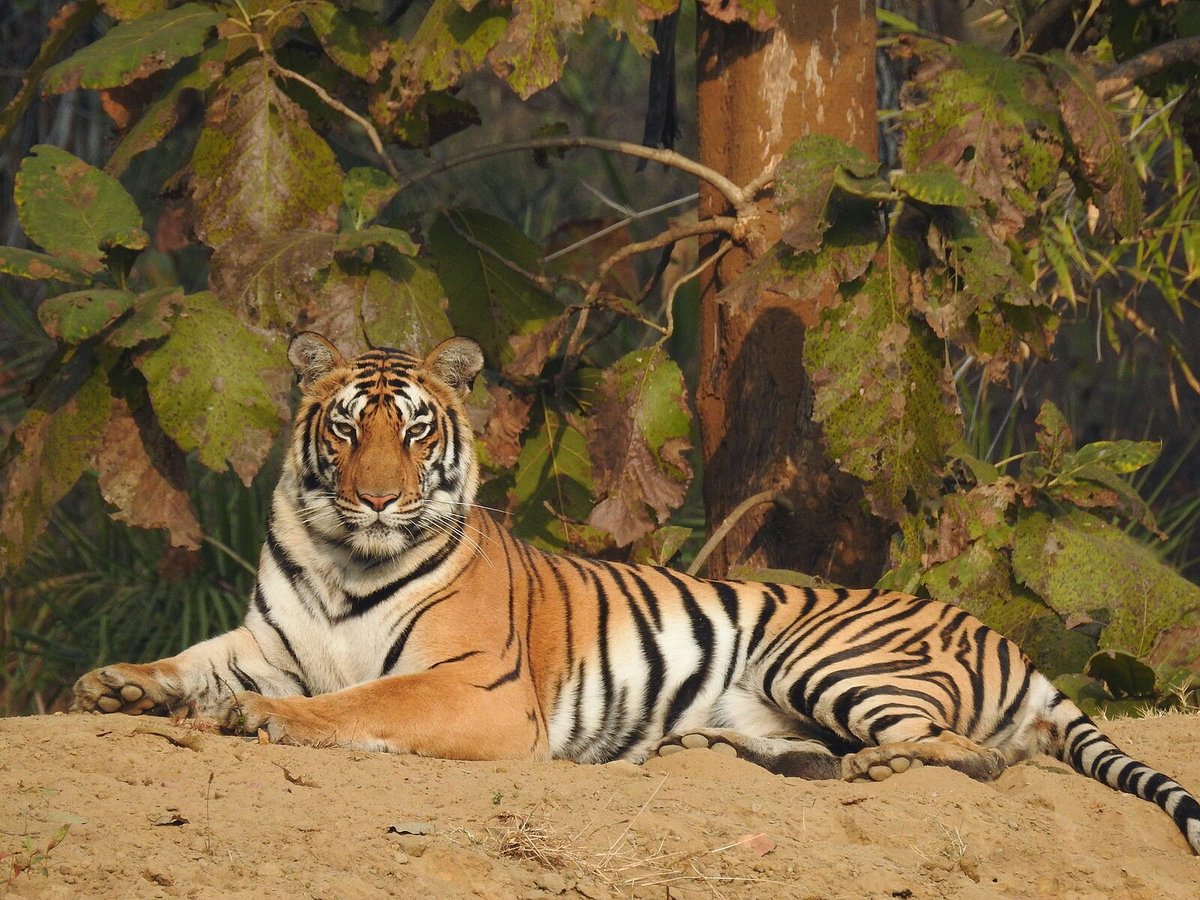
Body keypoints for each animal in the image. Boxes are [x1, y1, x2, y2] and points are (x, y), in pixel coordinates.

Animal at [72, 328, 1200, 854]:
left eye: (417, 430)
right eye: (347, 428)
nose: (381, 498)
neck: (349, 558)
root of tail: (1005, 639)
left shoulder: (477, 691)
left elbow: (357, 701)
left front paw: (260, 720)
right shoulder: (268, 640)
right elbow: (195, 662)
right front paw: (117, 685)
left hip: (827, 657)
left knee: (978, 756)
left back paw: (882, 767)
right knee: (828, 755)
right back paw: (717, 752)